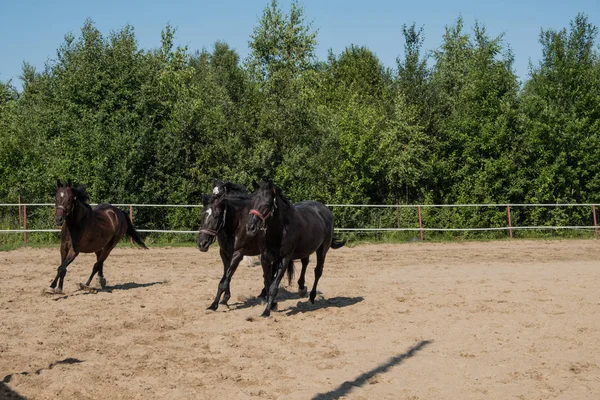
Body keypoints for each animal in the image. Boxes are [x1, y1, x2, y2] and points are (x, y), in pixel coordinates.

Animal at [197, 180, 292, 310]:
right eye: (202, 214)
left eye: (216, 216)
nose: (202, 243)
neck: (237, 223)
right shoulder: (225, 253)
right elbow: (226, 275)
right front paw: (225, 299)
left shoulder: (238, 254)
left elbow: (224, 279)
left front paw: (214, 304)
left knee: (272, 273)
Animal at [246, 183, 344, 318]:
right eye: (253, 202)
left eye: (266, 204)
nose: (250, 227)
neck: (280, 230)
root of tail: (325, 209)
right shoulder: (265, 258)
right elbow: (267, 281)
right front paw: (272, 304)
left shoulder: (285, 259)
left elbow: (273, 286)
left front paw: (266, 311)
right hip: (305, 249)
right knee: (305, 263)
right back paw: (302, 288)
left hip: (322, 250)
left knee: (318, 271)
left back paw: (311, 298)